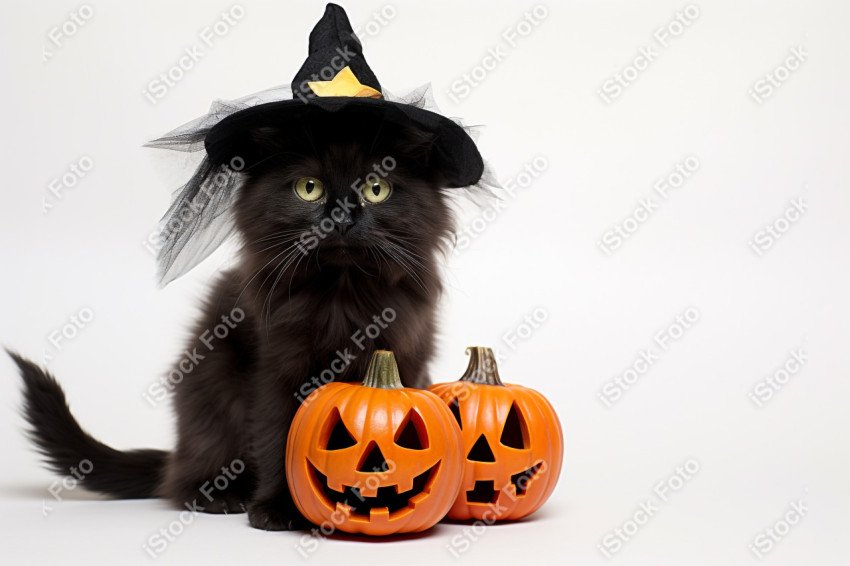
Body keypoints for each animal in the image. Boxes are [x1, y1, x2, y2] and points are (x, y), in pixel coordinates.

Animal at [8, 114, 458, 532]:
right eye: (309, 187)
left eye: (376, 190)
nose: (343, 217)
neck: (342, 294)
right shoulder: (275, 370)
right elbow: (280, 438)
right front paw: (278, 509)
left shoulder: (406, 357)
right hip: (210, 392)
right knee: (187, 477)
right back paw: (221, 495)